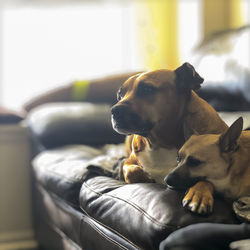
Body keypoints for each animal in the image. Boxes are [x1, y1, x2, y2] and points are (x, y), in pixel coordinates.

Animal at [110, 62, 228, 213]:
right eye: (120, 95)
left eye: (147, 89)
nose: (114, 111)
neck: (161, 142)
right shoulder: (130, 161)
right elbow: (131, 170)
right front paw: (145, 177)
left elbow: (206, 178)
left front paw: (199, 193)